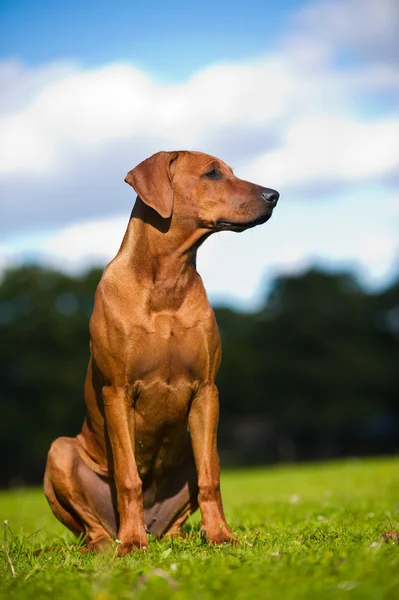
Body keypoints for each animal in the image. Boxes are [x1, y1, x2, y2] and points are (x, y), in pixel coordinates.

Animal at [43, 149, 280, 552]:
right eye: (212, 173)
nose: (274, 195)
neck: (168, 280)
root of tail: (156, 525)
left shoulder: (206, 390)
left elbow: (211, 478)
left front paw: (221, 535)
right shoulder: (117, 392)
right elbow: (128, 478)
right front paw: (132, 543)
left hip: (189, 456)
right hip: (60, 452)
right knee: (93, 527)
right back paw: (114, 541)